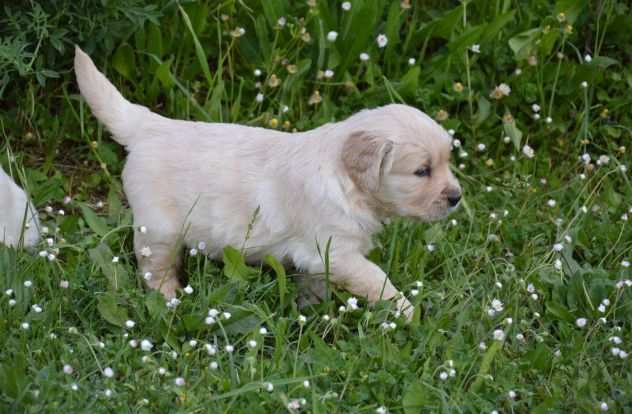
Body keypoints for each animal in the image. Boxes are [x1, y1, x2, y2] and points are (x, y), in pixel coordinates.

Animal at [74, 46, 462, 320]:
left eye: (447, 161)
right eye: (422, 171)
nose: (457, 197)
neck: (346, 182)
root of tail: (150, 125)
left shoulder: (319, 258)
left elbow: (315, 285)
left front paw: (309, 311)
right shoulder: (336, 250)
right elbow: (378, 281)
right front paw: (408, 312)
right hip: (159, 229)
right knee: (155, 269)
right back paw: (168, 300)